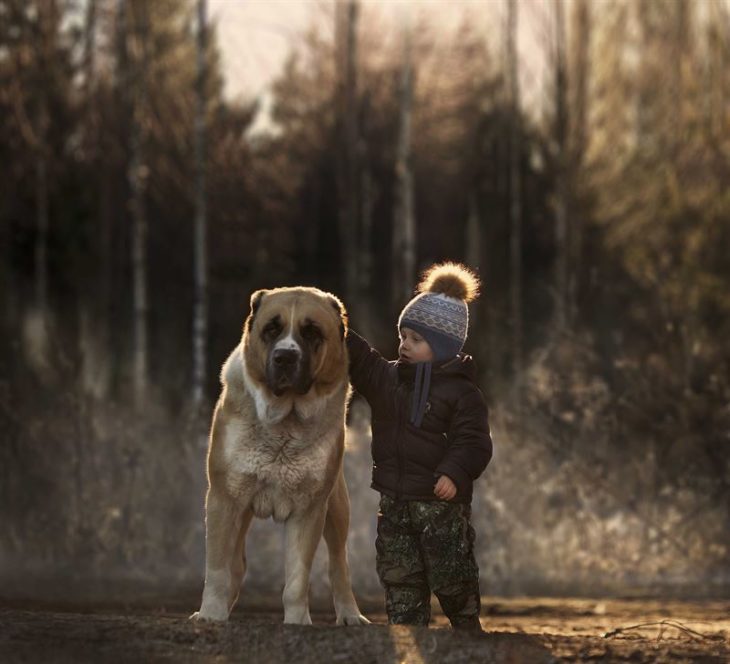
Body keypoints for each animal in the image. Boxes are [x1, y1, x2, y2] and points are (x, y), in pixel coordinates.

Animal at [191, 288, 366, 624]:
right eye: (272, 329)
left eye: (311, 332)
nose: (285, 356)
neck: (284, 423)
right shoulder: (223, 499)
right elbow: (217, 568)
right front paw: (210, 614)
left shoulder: (310, 509)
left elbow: (297, 577)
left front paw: (298, 621)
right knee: (235, 564)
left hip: (337, 507)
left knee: (340, 564)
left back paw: (351, 615)